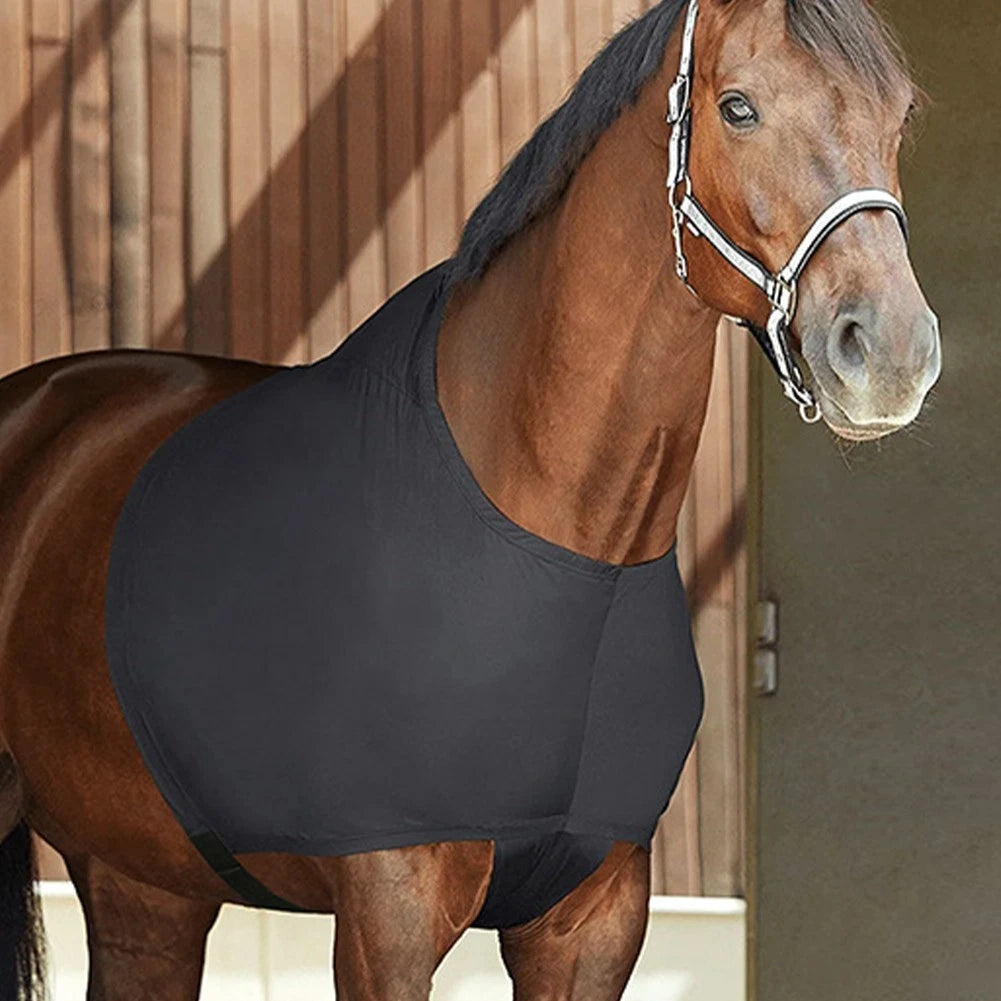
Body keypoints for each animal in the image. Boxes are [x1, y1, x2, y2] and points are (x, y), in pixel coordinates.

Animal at [0, 0, 941, 997]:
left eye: (898, 119)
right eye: (737, 108)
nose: (889, 353)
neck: (562, 546)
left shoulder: (592, 921)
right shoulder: (389, 920)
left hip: (146, 890)